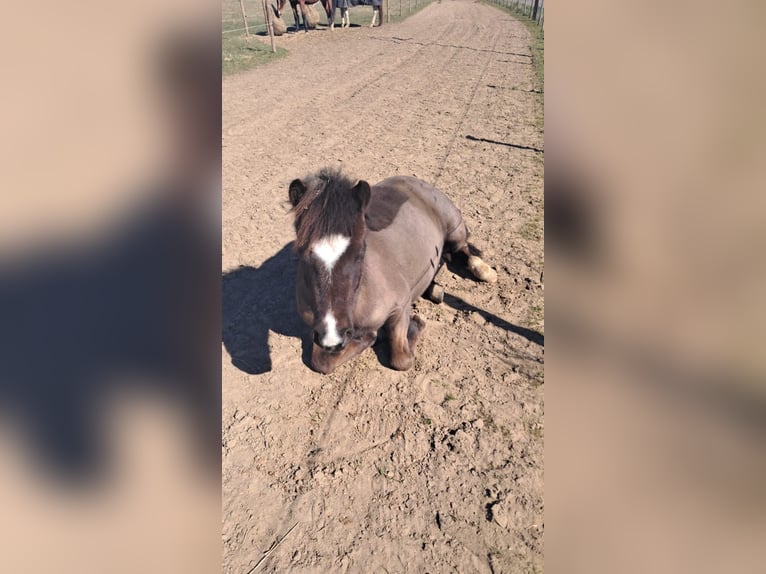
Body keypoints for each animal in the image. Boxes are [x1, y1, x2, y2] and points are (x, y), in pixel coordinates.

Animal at [288, 168, 497, 374]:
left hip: (454, 230)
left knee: (463, 249)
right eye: (302, 253)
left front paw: (413, 325)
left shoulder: (401, 307)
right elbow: (321, 363)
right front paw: (370, 337)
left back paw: (485, 271)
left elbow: (401, 359)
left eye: (360, 251)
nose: (333, 336)